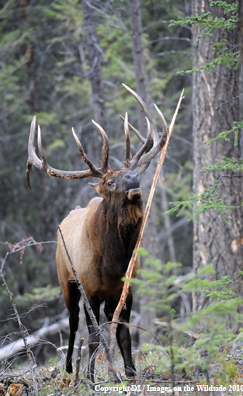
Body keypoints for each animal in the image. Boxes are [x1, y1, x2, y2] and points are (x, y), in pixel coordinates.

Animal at [26, 85, 167, 382]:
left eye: (130, 172)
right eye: (110, 181)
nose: (134, 178)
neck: (115, 262)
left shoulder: (125, 288)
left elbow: (124, 334)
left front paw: (130, 373)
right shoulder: (90, 289)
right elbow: (92, 338)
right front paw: (91, 379)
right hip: (66, 282)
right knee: (71, 324)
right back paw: (70, 369)